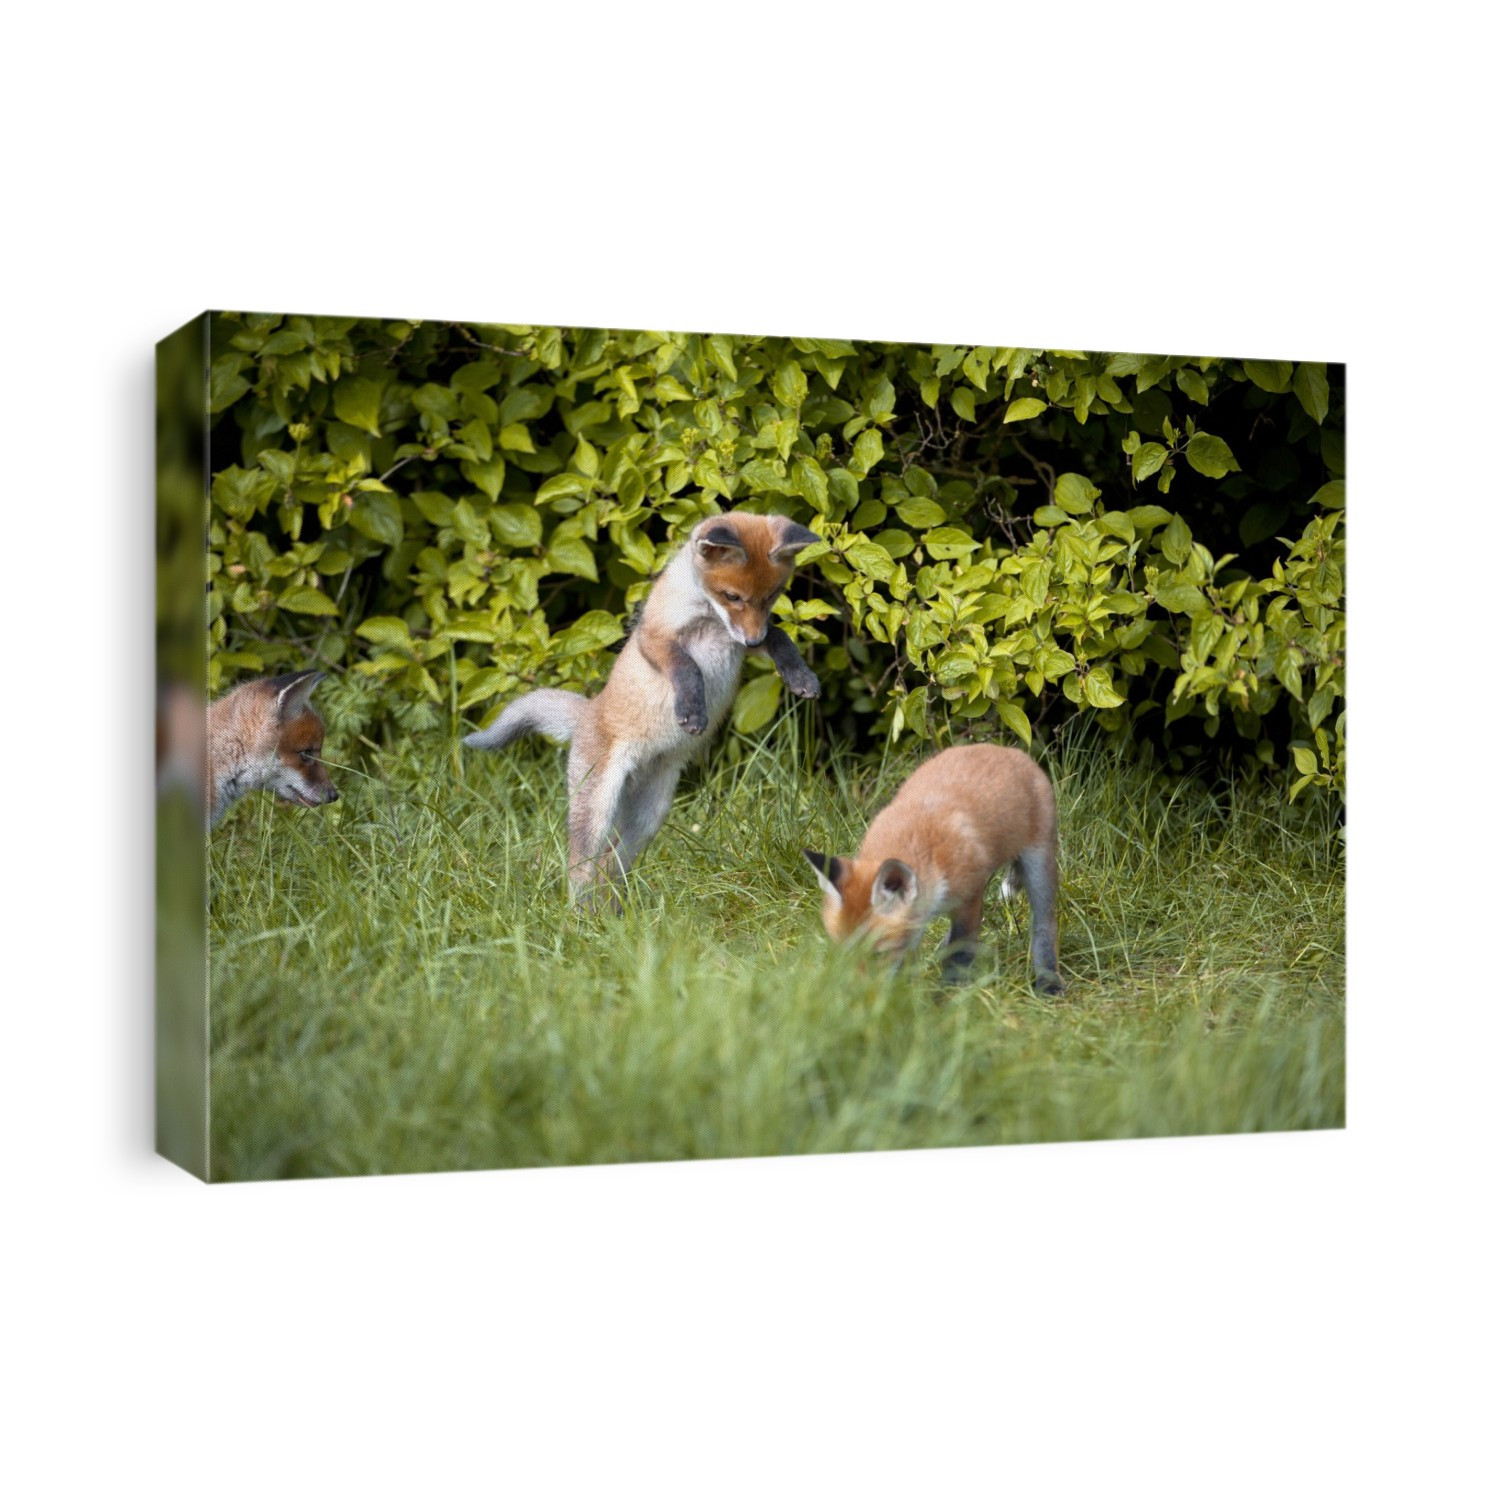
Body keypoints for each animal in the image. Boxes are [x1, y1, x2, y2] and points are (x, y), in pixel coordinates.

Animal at [464, 509, 822, 900]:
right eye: (733, 596)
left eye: (772, 596)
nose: (753, 638)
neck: (709, 617)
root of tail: (589, 710)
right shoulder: (654, 638)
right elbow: (687, 667)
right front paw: (691, 711)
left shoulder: (742, 642)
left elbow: (781, 636)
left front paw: (801, 677)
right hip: (599, 807)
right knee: (581, 868)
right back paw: (578, 912)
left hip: (649, 817)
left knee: (610, 864)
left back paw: (613, 909)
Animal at [802, 743, 1063, 994]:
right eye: (843, 955)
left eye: (878, 955)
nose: (855, 995)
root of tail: (1010, 750)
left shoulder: (969, 899)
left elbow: (958, 955)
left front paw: (945, 998)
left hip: (1038, 863)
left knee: (1045, 925)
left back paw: (1048, 982)